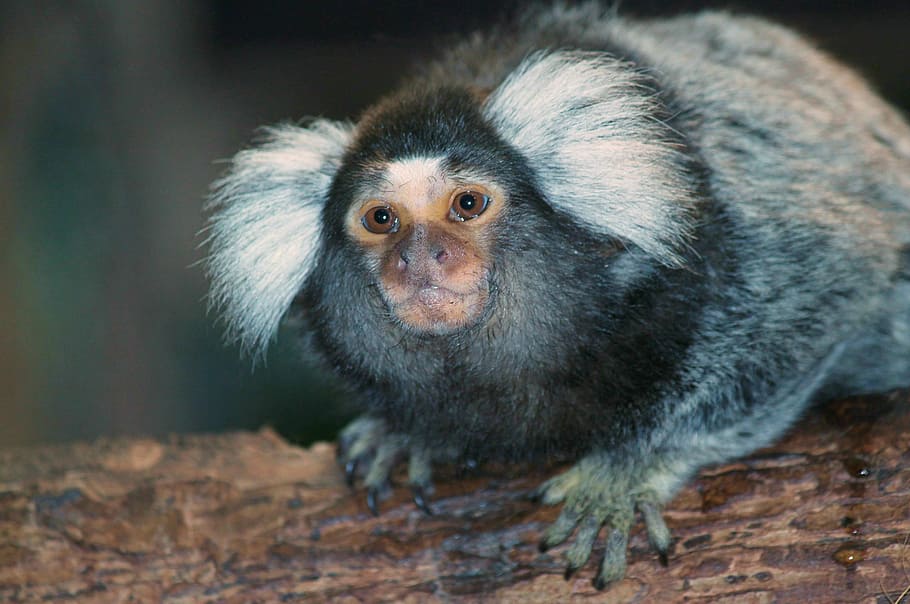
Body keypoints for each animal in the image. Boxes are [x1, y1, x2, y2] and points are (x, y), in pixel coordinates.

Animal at [204, 3, 910, 590]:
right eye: (382, 219)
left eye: (467, 205)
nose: (419, 257)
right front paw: (401, 433)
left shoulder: (742, 231)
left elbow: (826, 287)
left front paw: (630, 467)